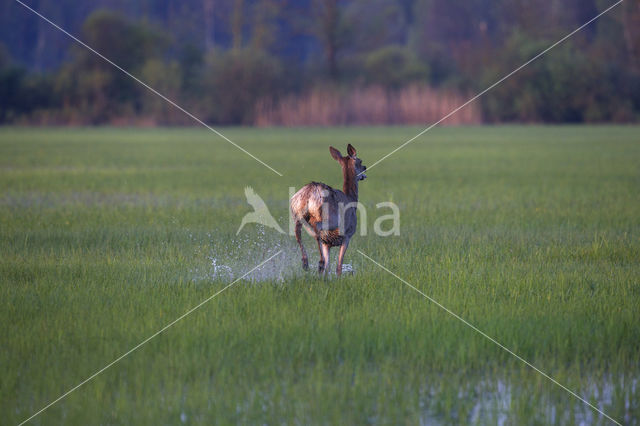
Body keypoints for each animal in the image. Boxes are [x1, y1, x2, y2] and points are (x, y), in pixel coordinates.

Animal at [288, 143, 364, 276]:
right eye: (360, 161)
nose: (365, 168)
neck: (351, 199)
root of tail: (308, 194)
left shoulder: (327, 243)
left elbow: (329, 268)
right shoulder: (347, 235)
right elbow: (338, 266)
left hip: (297, 215)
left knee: (297, 232)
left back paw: (306, 263)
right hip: (329, 218)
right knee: (316, 228)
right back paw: (319, 262)